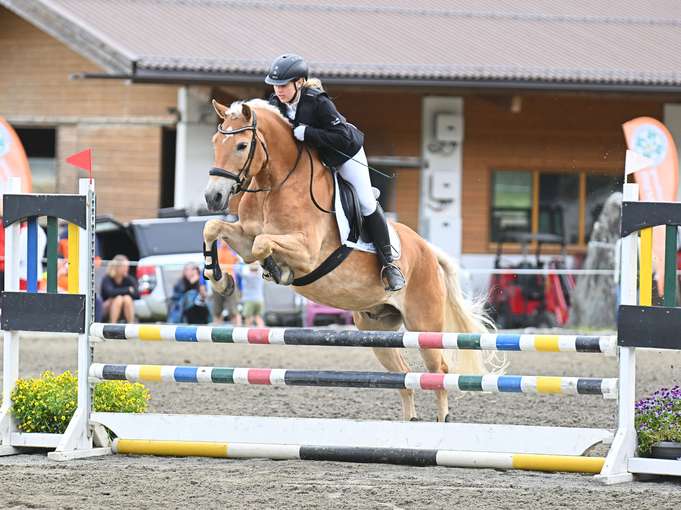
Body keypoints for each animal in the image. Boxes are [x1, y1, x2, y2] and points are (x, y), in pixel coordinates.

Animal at [201, 97, 494, 420]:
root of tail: (428, 250)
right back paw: (410, 421)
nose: (213, 197)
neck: (277, 184)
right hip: (376, 330)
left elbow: (262, 244)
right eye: (214, 142)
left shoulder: (307, 252)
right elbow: (214, 229)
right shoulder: (244, 236)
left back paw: (442, 420)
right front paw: (221, 281)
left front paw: (276, 270)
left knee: (438, 371)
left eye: (241, 145)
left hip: (424, 326)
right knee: (403, 376)